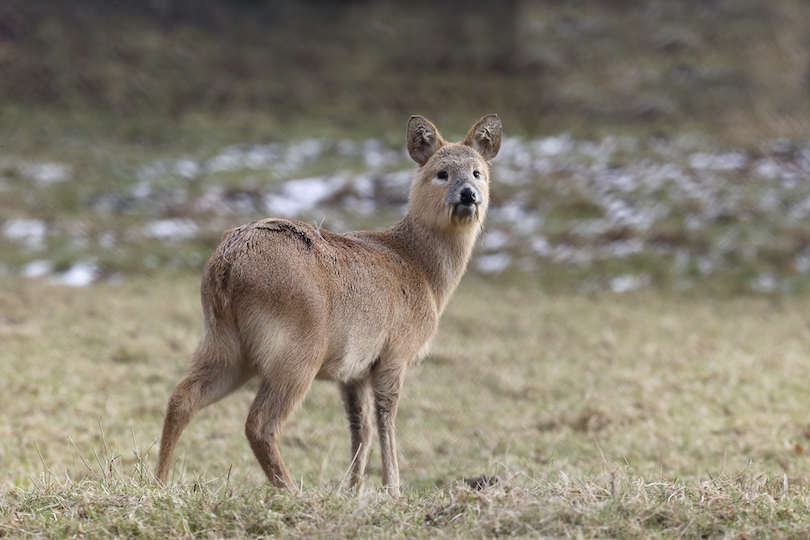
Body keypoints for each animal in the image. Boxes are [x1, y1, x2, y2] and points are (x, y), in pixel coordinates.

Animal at [153, 114, 498, 498]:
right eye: (442, 173)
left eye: (478, 171)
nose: (469, 194)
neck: (422, 270)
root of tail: (226, 265)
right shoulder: (395, 352)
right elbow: (385, 418)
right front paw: (392, 490)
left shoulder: (353, 369)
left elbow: (359, 426)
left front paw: (353, 491)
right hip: (296, 348)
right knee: (259, 422)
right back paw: (291, 491)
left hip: (223, 342)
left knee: (182, 398)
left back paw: (159, 483)